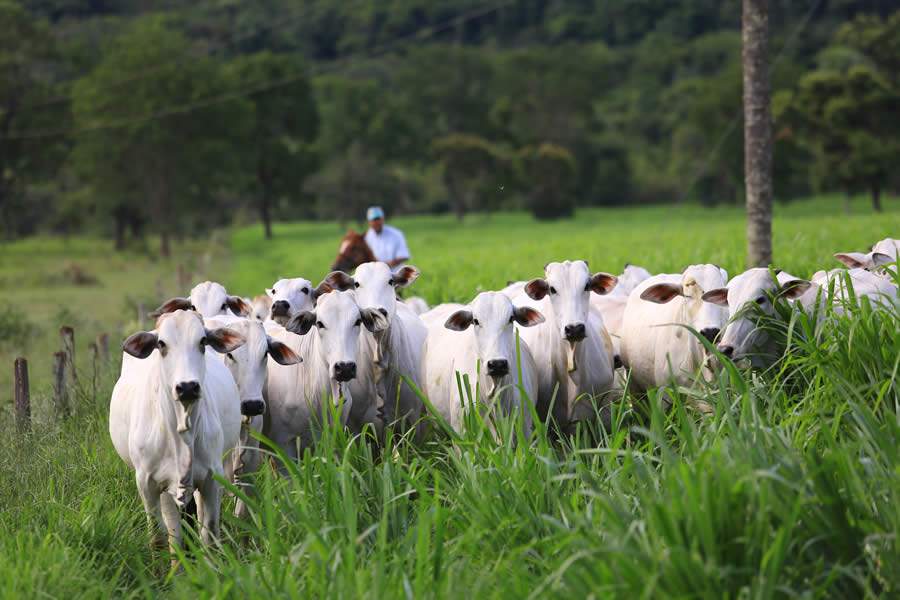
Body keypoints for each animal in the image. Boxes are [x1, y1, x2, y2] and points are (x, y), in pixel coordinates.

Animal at [109, 311, 245, 559]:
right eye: (161, 344)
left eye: (202, 341)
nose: (188, 387)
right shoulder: (147, 483)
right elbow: (159, 539)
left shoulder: (212, 479)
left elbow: (209, 534)